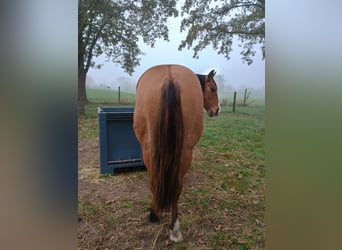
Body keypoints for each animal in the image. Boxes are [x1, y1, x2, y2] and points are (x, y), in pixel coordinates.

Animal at [132, 64, 220, 242]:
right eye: (213, 89)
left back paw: (160, 218)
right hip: (184, 152)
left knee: (155, 182)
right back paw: (174, 227)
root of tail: (170, 77)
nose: (216, 110)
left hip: (149, 150)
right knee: (175, 187)